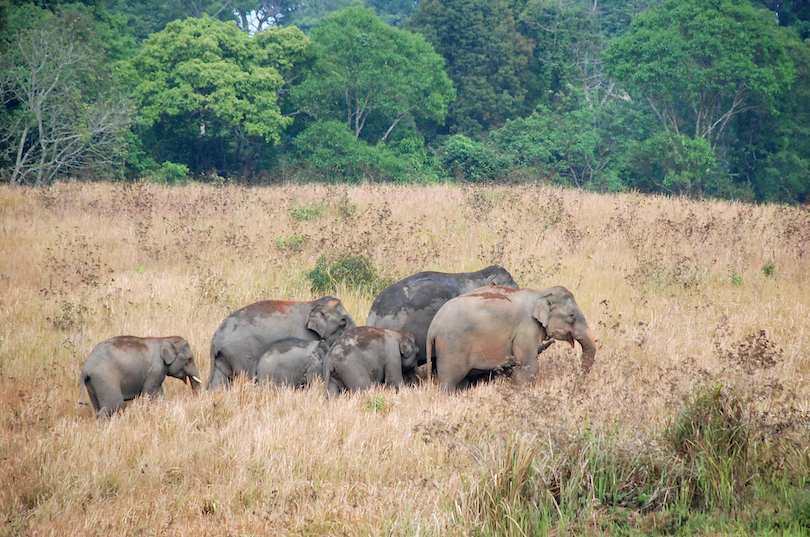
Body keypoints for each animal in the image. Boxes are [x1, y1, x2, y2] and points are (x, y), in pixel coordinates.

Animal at [208, 296, 356, 388]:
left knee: (219, 380)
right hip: (239, 351)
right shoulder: (303, 333)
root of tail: (216, 340)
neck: (313, 303)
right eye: (343, 321)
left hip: (224, 355)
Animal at [426, 284, 596, 390]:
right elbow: (527, 362)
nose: (578, 381)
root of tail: (433, 326)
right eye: (572, 316)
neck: (540, 292)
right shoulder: (527, 327)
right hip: (452, 345)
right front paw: (524, 392)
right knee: (450, 379)